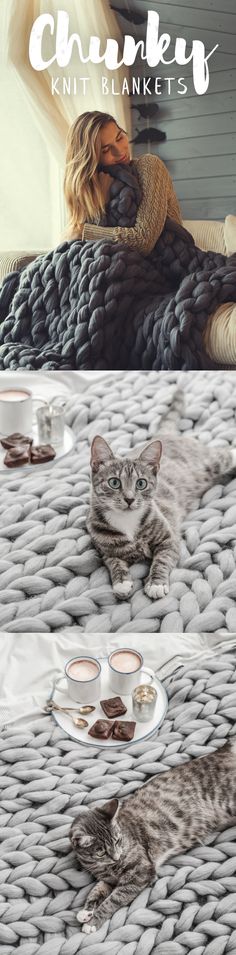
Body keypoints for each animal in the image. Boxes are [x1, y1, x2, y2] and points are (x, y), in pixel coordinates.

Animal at [70, 740, 236, 932]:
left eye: (117, 841)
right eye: (101, 851)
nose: (117, 856)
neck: (102, 867)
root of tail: (222, 751)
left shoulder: (140, 873)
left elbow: (114, 899)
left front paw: (93, 921)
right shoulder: (108, 879)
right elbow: (97, 890)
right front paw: (86, 910)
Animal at [87, 434, 236, 596]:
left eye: (141, 483)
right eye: (114, 482)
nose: (129, 499)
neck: (127, 520)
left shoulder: (169, 539)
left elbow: (162, 559)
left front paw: (156, 583)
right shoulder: (104, 546)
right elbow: (113, 561)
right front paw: (121, 582)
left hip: (209, 464)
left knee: (224, 455)